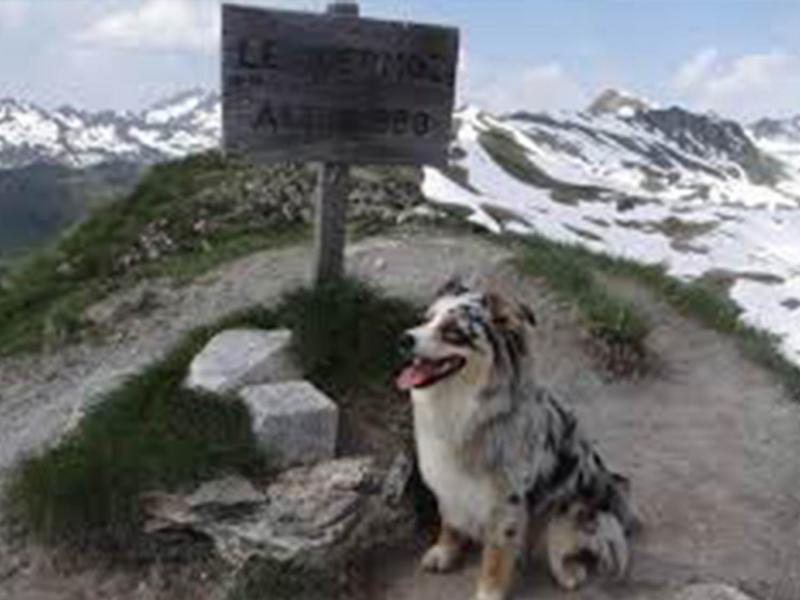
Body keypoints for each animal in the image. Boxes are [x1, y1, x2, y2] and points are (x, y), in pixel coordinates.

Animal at [396, 282, 636, 600]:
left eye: (453, 331)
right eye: (425, 319)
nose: (402, 339)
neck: (466, 411)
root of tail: (614, 496)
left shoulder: (507, 501)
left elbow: (497, 555)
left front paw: (489, 593)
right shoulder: (449, 483)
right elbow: (450, 521)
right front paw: (445, 552)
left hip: (567, 512)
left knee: (567, 549)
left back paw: (569, 571)